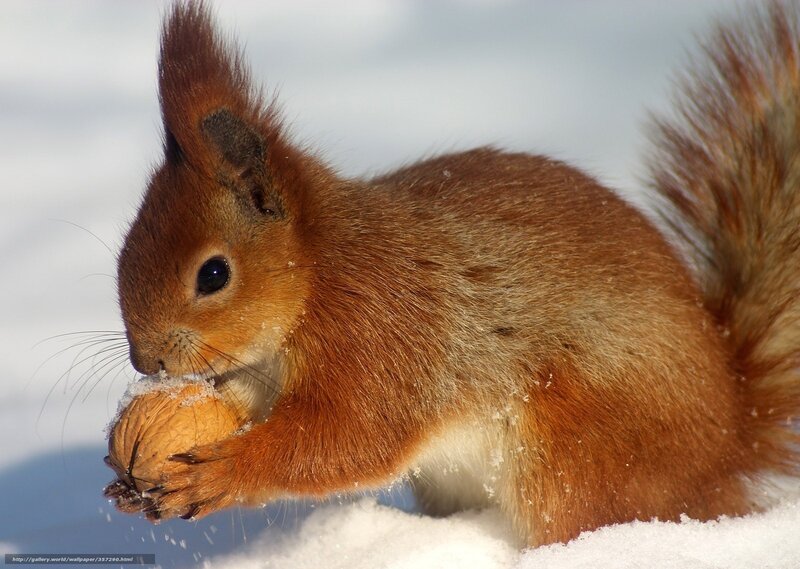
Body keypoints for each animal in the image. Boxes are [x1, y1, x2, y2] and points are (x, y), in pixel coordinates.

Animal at [108, 1, 800, 547]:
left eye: (213, 274)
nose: (147, 362)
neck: (319, 275)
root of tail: (732, 438)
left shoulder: (381, 336)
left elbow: (347, 439)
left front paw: (220, 473)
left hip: (579, 452)